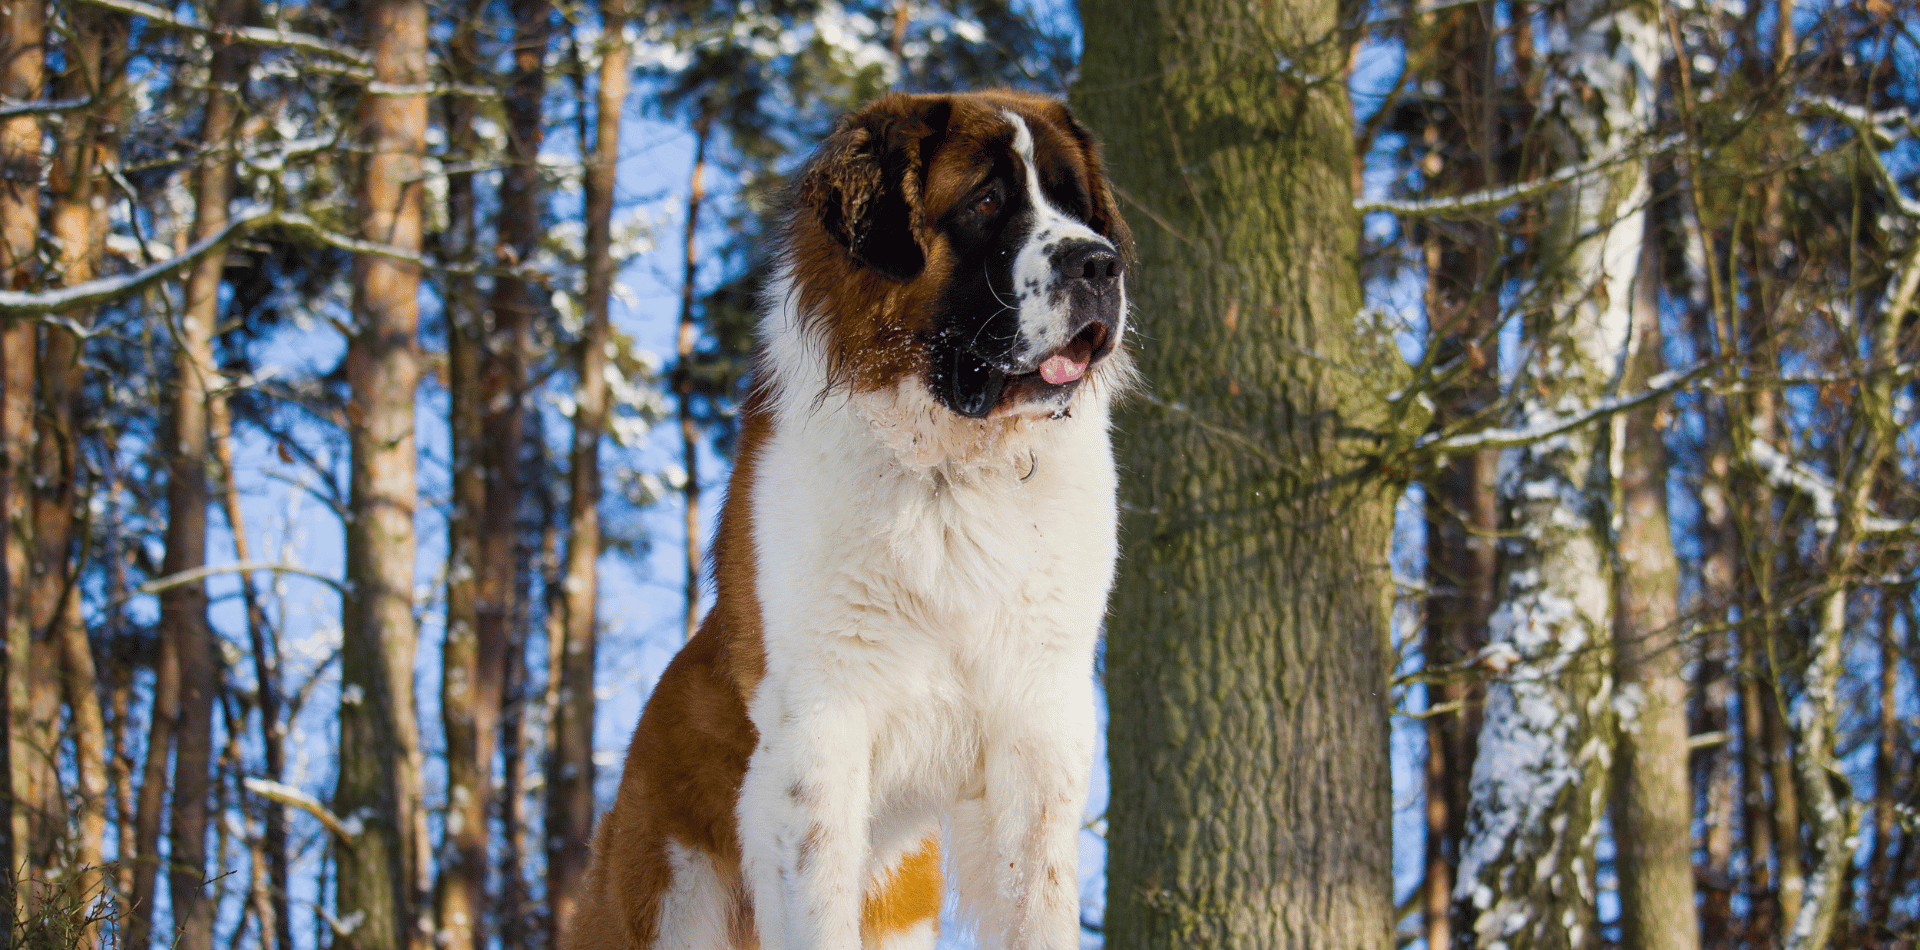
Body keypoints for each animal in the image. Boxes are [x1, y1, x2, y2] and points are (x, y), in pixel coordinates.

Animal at [564, 91, 1136, 950]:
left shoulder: (1037, 725)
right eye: (987, 202)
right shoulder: (819, 728)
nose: (1100, 264)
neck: (951, 471)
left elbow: (1038, 899)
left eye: (1077, 205)